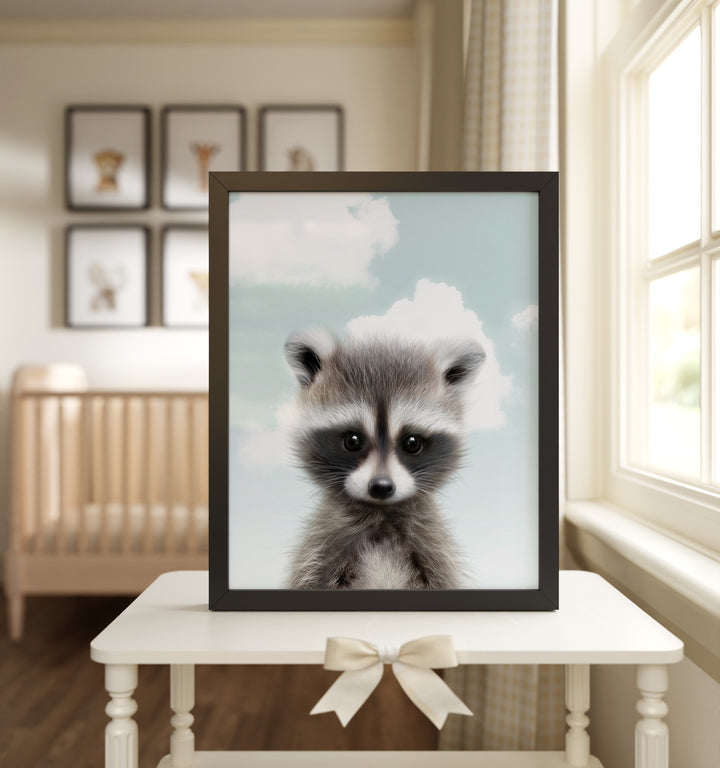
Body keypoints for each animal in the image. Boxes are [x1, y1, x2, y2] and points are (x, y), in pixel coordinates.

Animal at [283, 328, 485, 590]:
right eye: (352, 441)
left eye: (412, 443)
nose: (381, 487)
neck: (381, 516)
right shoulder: (323, 545)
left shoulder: (432, 546)